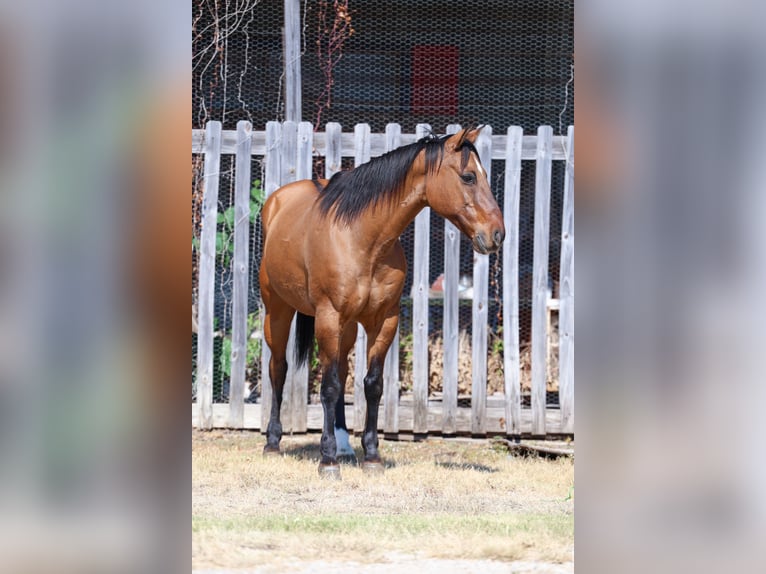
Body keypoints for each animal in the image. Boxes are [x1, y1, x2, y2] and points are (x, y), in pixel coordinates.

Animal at [259, 126, 504, 478]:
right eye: (469, 177)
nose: (497, 234)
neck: (362, 239)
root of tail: (277, 202)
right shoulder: (328, 317)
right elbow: (328, 386)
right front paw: (327, 461)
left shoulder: (384, 321)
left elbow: (371, 385)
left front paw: (371, 456)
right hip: (278, 311)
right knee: (278, 369)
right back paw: (273, 442)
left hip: (345, 329)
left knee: (340, 373)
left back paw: (345, 446)